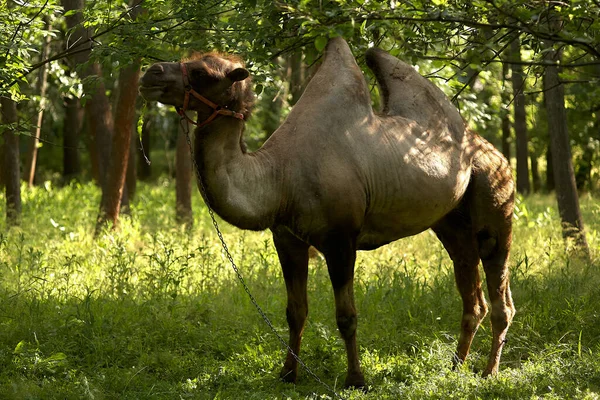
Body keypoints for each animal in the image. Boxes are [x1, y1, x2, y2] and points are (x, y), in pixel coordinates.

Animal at [138, 37, 512, 388]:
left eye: (202, 73)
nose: (148, 73)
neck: (279, 177)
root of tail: (491, 149)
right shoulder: (287, 238)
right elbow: (295, 311)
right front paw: (288, 373)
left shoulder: (340, 240)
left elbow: (346, 316)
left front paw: (356, 379)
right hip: (450, 223)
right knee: (471, 294)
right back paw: (456, 366)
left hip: (497, 198)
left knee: (499, 293)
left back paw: (489, 372)